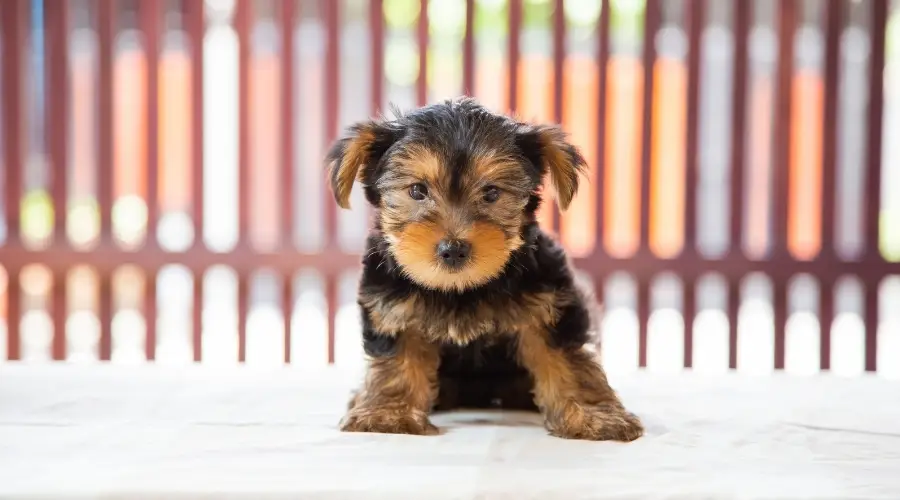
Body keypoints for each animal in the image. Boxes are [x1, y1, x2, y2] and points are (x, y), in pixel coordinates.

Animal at [326, 97, 644, 442]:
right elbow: (397, 355)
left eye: (491, 193)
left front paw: (593, 415)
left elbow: (568, 358)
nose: (453, 249)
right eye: (417, 191)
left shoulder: (549, 302)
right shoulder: (392, 305)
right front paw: (388, 414)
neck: (462, 289)